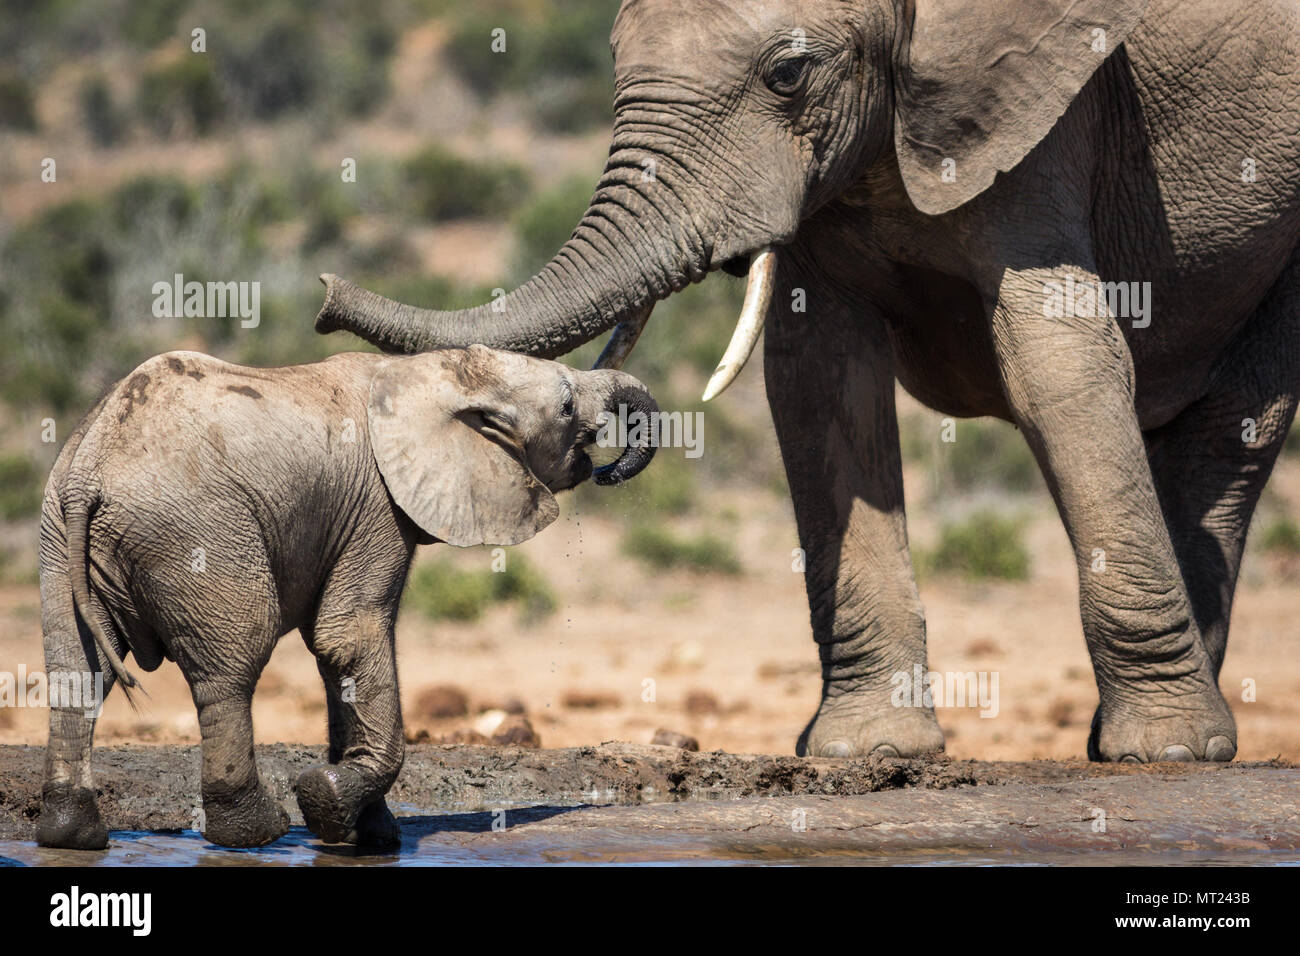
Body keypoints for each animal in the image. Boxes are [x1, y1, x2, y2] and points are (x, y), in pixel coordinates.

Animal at [35, 343, 655, 853]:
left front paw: (367, 835)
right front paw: (327, 800)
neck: (438, 372)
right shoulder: (377, 508)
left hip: (58, 535)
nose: (608, 470)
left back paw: (72, 836)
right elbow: (350, 637)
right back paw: (257, 833)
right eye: (568, 406)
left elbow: (337, 657)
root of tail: (91, 470)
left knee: (77, 671)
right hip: (196, 535)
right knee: (232, 667)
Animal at [314, 0, 1300, 764]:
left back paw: (1171, 741)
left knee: (1235, 426)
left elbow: (1057, 364)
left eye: (789, 74)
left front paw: (1166, 754)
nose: (321, 297)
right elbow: (820, 383)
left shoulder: (1047, 113)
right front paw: (868, 752)